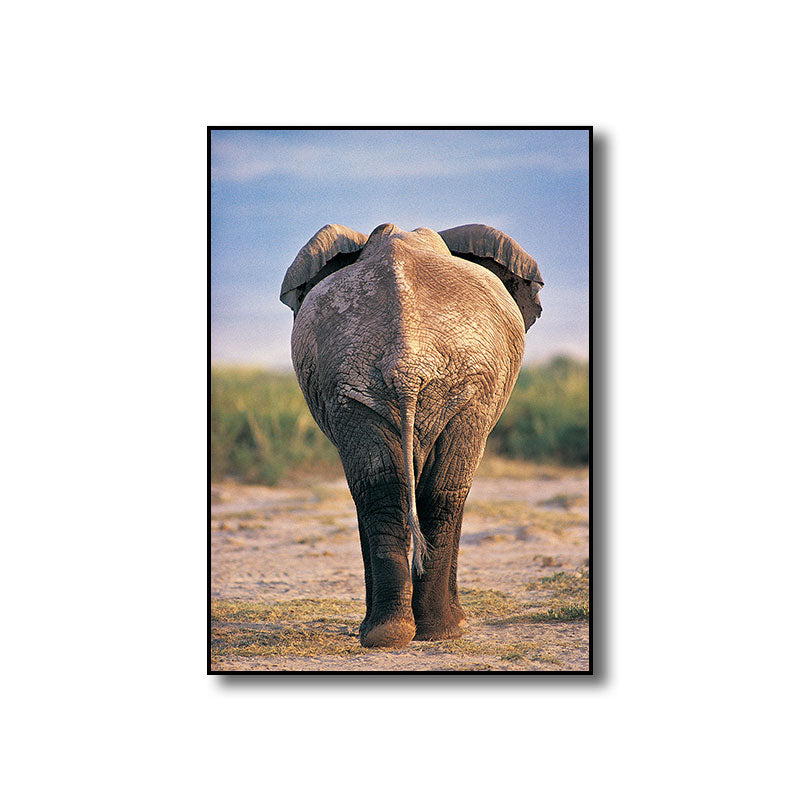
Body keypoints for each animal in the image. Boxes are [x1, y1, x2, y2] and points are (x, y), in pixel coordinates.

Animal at [280, 223, 543, 648]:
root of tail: (407, 361)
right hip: (430, 387)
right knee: (440, 488)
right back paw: (439, 630)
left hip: (366, 385)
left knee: (384, 487)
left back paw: (392, 634)